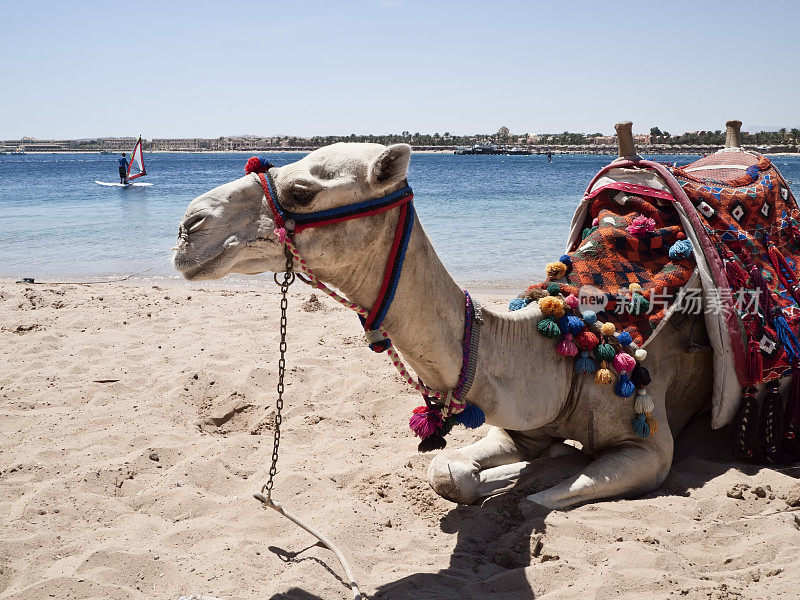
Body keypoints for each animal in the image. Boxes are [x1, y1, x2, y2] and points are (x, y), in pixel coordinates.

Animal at [173, 141, 712, 510]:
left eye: (302, 191)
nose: (187, 228)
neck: (565, 348)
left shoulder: (649, 448)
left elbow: (534, 499)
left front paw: (534, 476)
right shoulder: (522, 425)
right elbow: (445, 472)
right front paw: (522, 466)